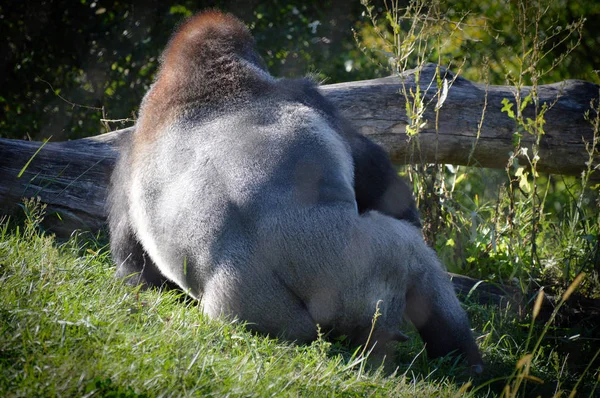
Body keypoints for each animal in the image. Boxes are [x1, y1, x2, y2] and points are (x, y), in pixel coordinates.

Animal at [108, 11, 482, 374]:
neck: (201, 89)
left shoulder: (126, 156)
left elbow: (137, 271)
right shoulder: (310, 96)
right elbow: (391, 196)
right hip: (346, 273)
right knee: (413, 255)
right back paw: (467, 361)